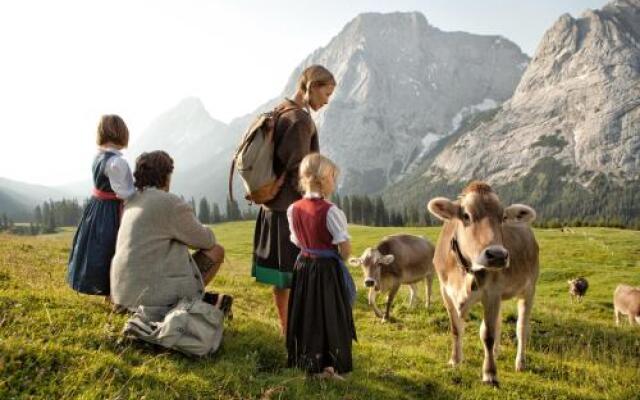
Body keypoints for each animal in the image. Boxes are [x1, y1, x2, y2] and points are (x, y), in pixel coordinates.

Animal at [428, 182, 536, 388]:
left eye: (503, 217)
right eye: (466, 216)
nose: (498, 255)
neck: (464, 271)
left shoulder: (492, 293)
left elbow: (488, 335)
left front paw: (490, 373)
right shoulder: (446, 292)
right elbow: (456, 329)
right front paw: (455, 360)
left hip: (529, 289)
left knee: (521, 328)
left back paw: (520, 362)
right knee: (499, 322)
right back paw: (496, 353)